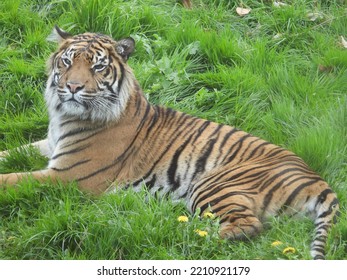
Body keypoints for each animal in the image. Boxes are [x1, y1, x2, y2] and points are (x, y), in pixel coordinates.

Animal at [0, 26, 340, 260]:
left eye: (97, 66)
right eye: (67, 62)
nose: (72, 87)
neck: (64, 116)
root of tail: (318, 179)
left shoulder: (68, 176)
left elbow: (12, 178)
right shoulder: (49, 145)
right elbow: (11, 153)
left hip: (212, 183)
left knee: (246, 227)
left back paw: (175, 229)